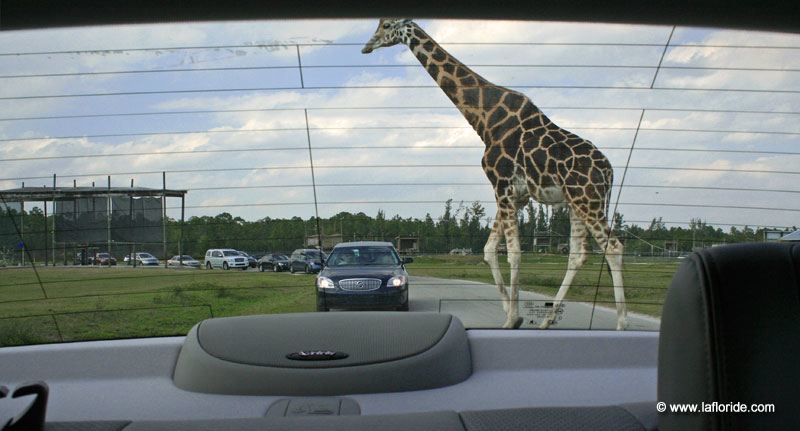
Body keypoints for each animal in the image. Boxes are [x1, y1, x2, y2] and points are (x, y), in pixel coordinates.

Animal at [360, 18, 624, 330]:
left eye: (386, 25)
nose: (367, 46)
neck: (484, 120)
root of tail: (609, 172)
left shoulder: (502, 185)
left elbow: (513, 253)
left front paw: (512, 319)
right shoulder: (515, 195)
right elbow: (489, 250)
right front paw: (514, 314)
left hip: (587, 199)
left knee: (614, 248)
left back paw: (622, 324)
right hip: (576, 203)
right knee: (578, 255)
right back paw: (547, 320)